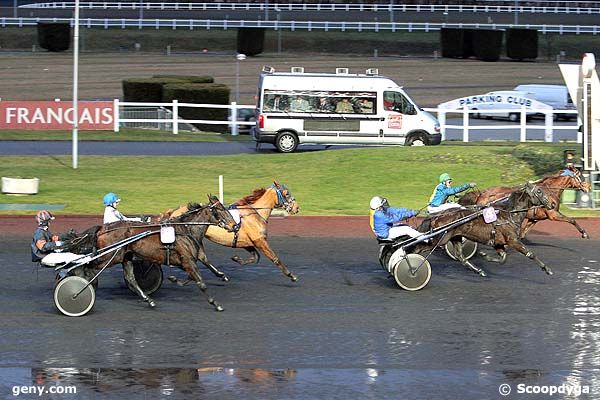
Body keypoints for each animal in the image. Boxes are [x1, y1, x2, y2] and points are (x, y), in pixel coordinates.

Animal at [90, 195, 238, 310]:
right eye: (220, 209)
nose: (235, 226)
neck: (186, 230)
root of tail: (102, 229)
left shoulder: (189, 259)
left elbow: (201, 267)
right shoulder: (187, 260)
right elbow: (200, 282)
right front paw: (215, 304)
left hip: (125, 257)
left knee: (131, 279)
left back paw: (149, 300)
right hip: (110, 256)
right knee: (90, 266)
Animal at [162, 180, 300, 282]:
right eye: (287, 193)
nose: (297, 208)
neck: (255, 214)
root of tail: (173, 212)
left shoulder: (246, 242)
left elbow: (255, 257)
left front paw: (236, 259)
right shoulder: (260, 241)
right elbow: (274, 258)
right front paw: (291, 275)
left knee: (201, 257)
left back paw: (220, 274)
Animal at [412, 183, 556, 276]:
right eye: (539, 191)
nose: (553, 204)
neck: (509, 214)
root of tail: (437, 215)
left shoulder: (498, 243)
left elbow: (503, 258)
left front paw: (484, 255)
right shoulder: (513, 240)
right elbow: (530, 254)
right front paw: (547, 269)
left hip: (455, 237)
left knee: (460, 257)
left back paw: (479, 270)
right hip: (439, 239)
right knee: (417, 248)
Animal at [460, 167, 592, 239]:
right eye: (579, 176)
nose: (589, 187)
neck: (548, 191)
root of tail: (481, 193)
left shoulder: (534, 218)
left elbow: (522, 234)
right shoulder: (553, 214)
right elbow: (572, 220)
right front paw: (584, 233)